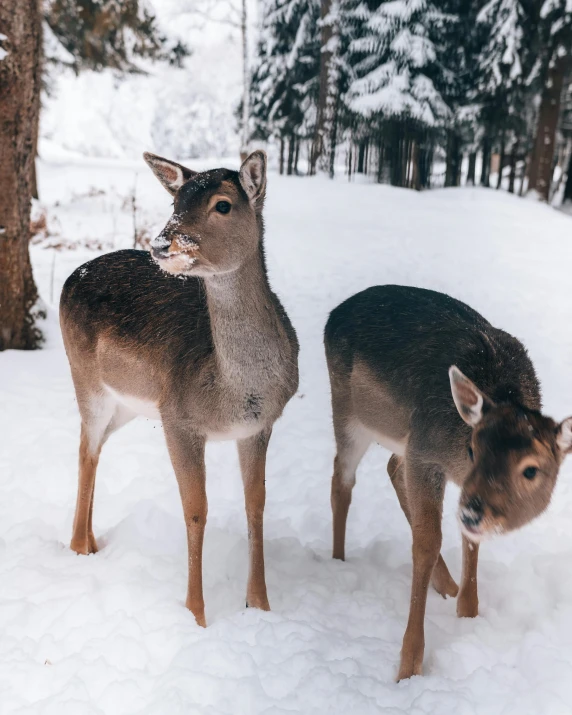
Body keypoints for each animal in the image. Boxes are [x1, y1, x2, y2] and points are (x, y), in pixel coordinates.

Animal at [59, 150, 300, 628]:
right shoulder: (178, 417)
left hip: (127, 405)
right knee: (85, 447)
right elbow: (196, 509)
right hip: (86, 379)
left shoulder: (261, 426)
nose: (162, 243)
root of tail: (72, 276)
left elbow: (256, 504)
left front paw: (260, 605)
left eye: (223, 204)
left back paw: (92, 542)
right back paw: (79, 547)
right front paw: (196, 616)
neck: (236, 391)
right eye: (176, 201)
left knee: (95, 446)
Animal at [324, 282, 572, 680]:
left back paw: (447, 584)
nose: (473, 512)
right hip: (348, 413)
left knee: (392, 467)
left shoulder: (440, 470)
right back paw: (338, 561)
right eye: (472, 448)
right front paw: (408, 667)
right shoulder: (426, 451)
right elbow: (427, 543)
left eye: (531, 469)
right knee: (341, 479)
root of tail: (334, 313)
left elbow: (469, 540)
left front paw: (467, 611)